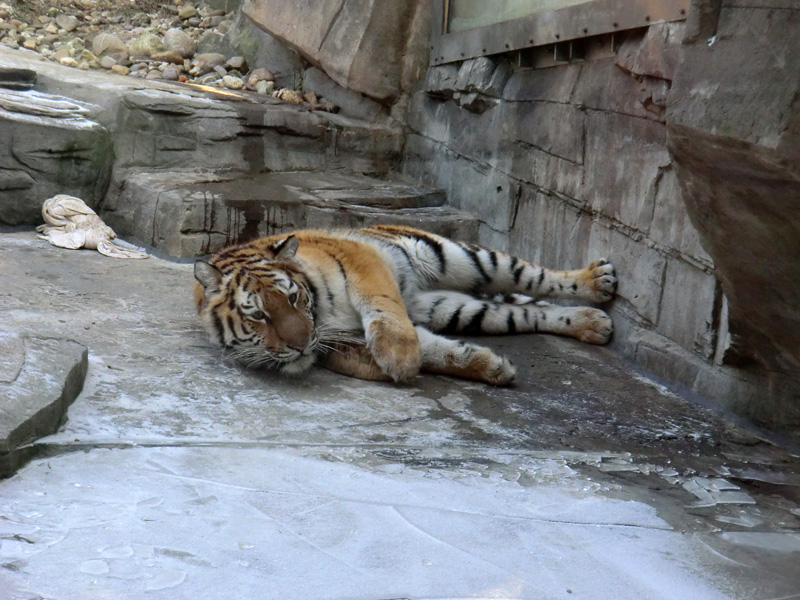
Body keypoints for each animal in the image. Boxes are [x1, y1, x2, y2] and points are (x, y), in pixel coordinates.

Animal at [195, 224, 620, 384]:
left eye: (294, 297)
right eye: (258, 315)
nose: (300, 346)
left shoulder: (360, 258)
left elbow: (381, 303)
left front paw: (398, 355)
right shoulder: (341, 340)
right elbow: (436, 351)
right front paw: (491, 367)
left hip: (457, 256)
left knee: (533, 276)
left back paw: (597, 281)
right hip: (458, 309)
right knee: (528, 311)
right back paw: (592, 324)